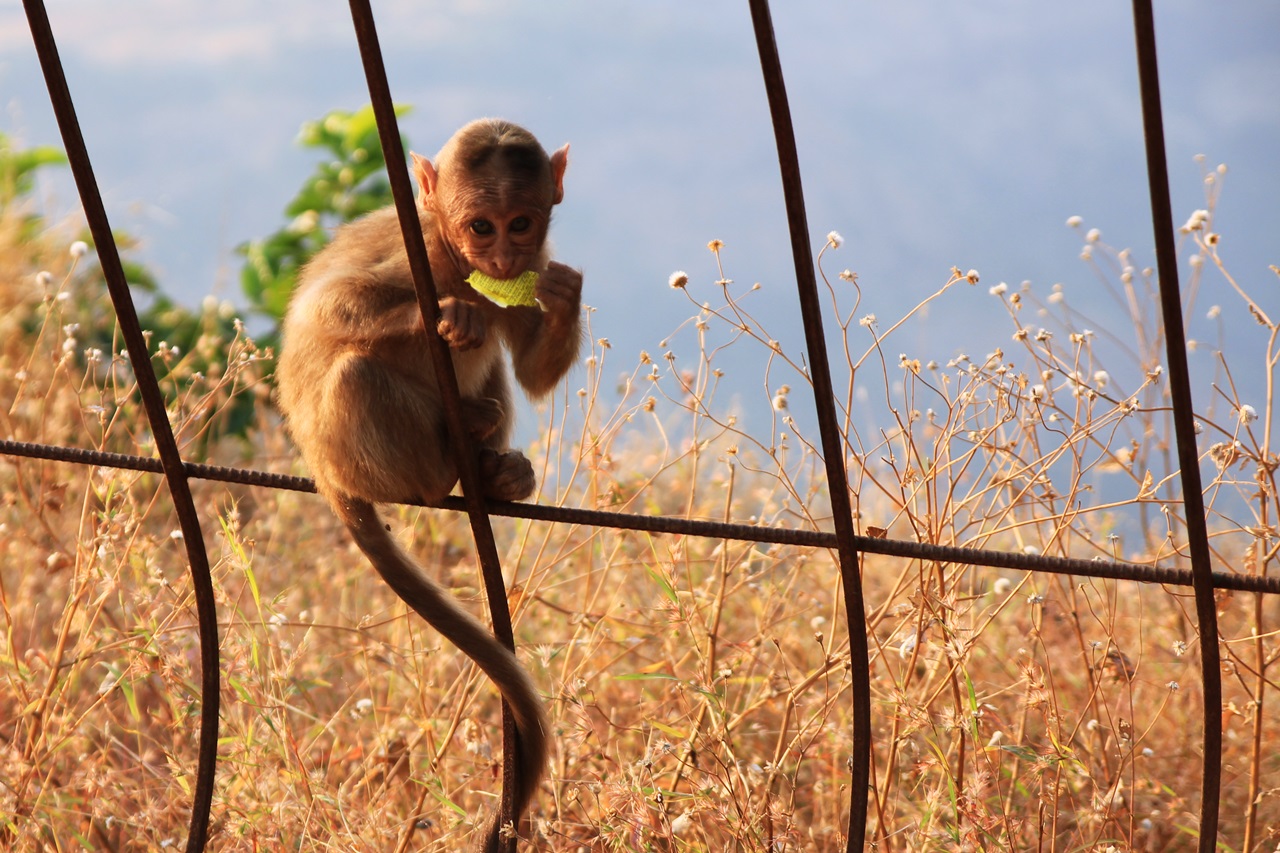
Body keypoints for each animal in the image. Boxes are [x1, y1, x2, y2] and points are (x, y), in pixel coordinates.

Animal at [277, 116, 583, 845]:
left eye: (522, 223)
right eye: (481, 226)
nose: (500, 257)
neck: (449, 249)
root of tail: (325, 475)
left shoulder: (529, 270)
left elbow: (529, 366)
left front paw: (564, 300)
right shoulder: (409, 250)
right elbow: (325, 307)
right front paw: (448, 314)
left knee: (493, 371)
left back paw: (496, 466)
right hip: (357, 456)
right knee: (354, 372)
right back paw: (451, 461)